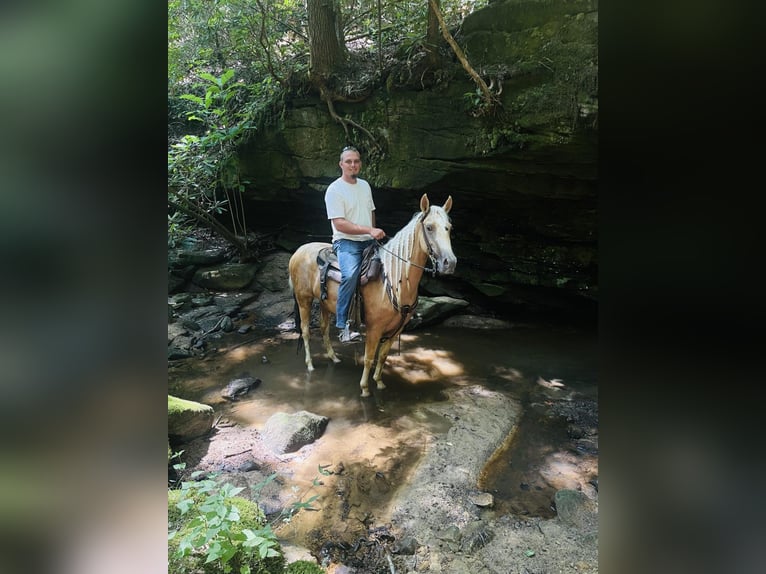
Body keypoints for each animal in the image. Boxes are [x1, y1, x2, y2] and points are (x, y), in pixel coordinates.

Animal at [288, 196, 456, 398]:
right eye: (429, 227)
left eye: (449, 227)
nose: (450, 263)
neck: (394, 280)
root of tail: (298, 251)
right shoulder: (374, 328)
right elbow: (369, 357)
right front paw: (365, 388)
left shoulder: (396, 329)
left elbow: (382, 356)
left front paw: (379, 382)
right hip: (303, 300)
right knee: (306, 331)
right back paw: (310, 364)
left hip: (323, 303)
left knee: (324, 329)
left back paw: (334, 357)